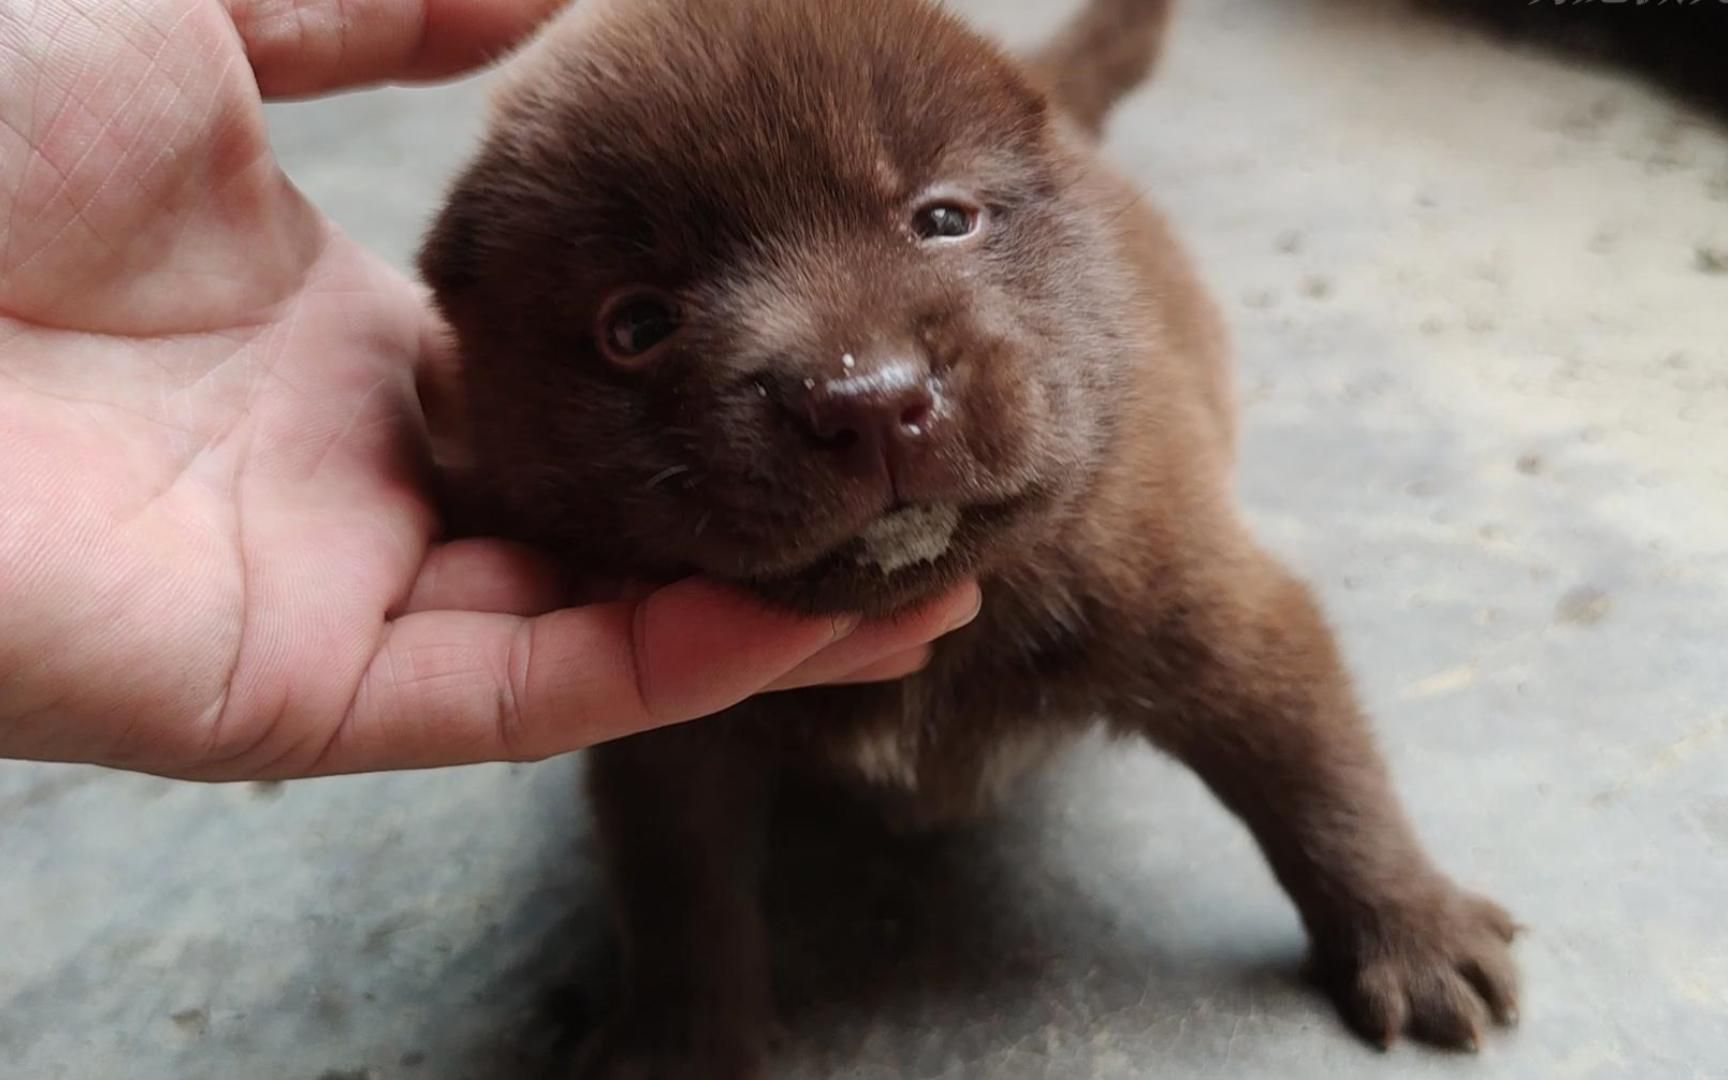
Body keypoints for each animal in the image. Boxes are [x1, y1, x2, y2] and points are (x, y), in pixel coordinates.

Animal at [425, 2, 1520, 1071]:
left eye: (945, 219)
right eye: (636, 325)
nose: (868, 398)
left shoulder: (1207, 599)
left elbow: (1316, 770)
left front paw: (1416, 934)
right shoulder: (670, 737)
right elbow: (676, 886)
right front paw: (682, 1047)